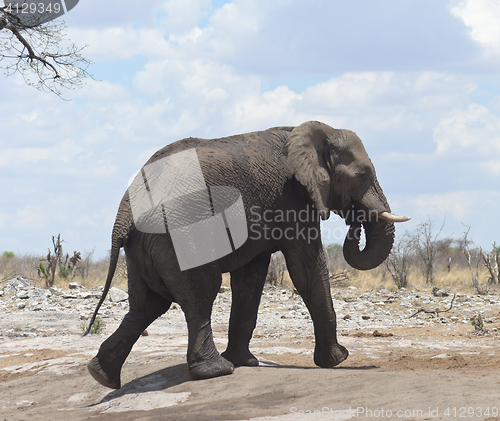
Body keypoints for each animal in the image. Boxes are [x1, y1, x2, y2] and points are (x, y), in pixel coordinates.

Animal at [84, 119, 408, 388]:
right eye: (363, 175)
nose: (356, 221)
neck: (316, 131)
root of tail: (123, 216)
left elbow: (250, 280)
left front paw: (247, 362)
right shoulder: (294, 198)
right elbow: (306, 270)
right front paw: (338, 359)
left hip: (142, 248)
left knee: (147, 306)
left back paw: (102, 376)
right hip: (180, 236)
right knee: (199, 295)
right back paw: (216, 371)